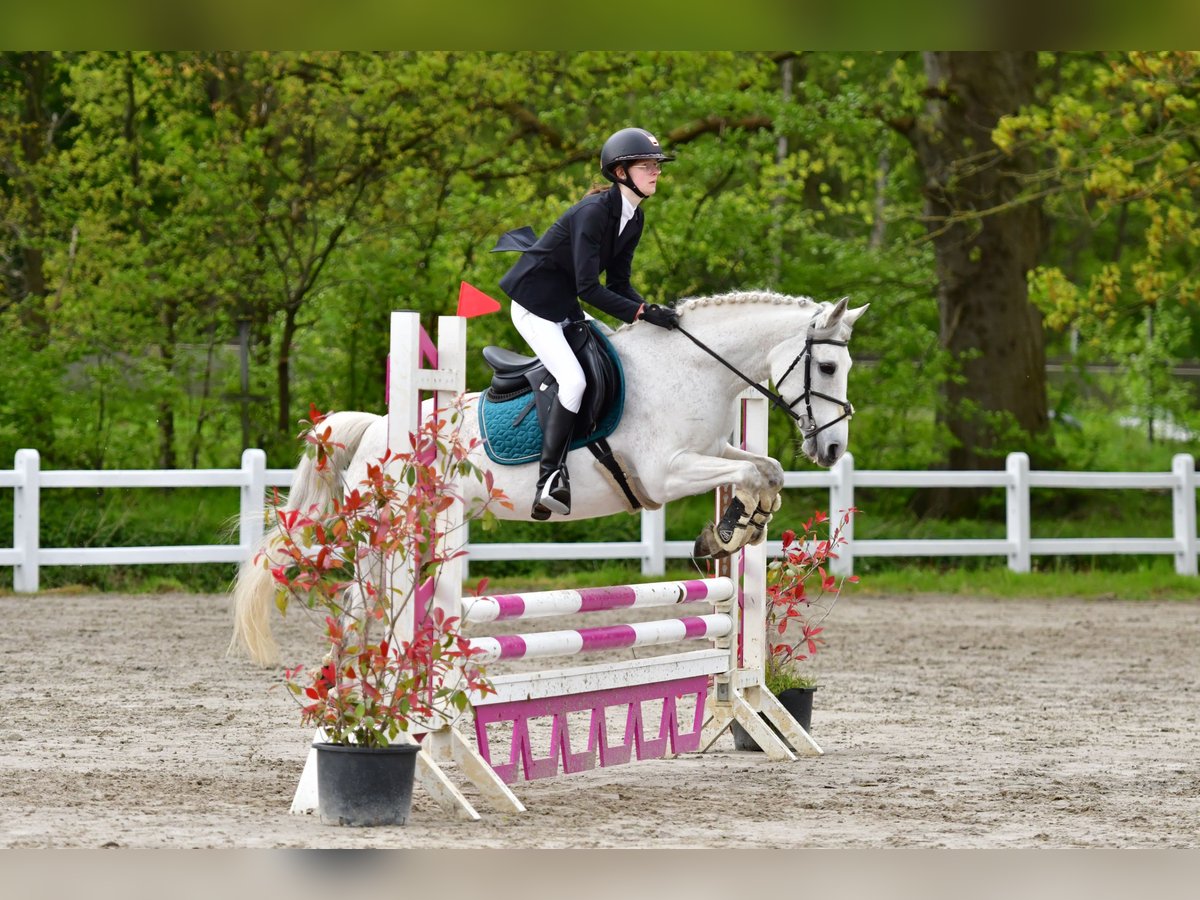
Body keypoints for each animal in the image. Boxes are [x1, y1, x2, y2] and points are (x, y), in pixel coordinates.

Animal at [229, 292, 868, 667]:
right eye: (827, 366)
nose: (833, 447)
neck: (690, 369)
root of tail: (375, 428)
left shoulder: (710, 450)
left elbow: (766, 470)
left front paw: (733, 530)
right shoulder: (667, 473)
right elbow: (753, 470)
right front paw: (733, 530)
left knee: (374, 606)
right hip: (388, 527)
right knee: (365, 604)